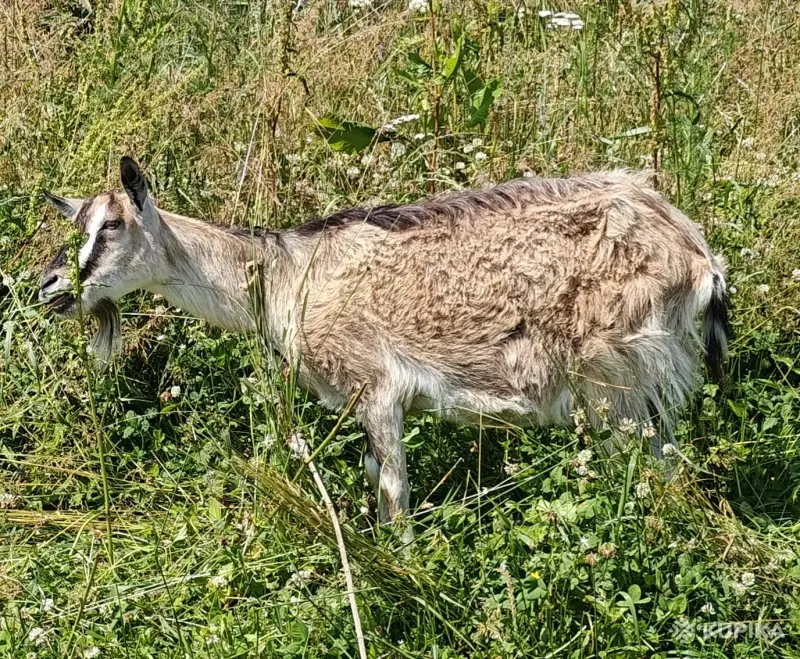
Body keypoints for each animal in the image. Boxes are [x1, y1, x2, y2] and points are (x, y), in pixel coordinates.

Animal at [40, 157, 730, 534]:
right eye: (77, 222)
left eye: (113, 225)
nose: (49, 286)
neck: (289, 274)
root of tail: (697, 255)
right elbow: (376, 478)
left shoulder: (376, 388)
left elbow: (394, 492)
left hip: (619, 378)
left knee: (654, 471)